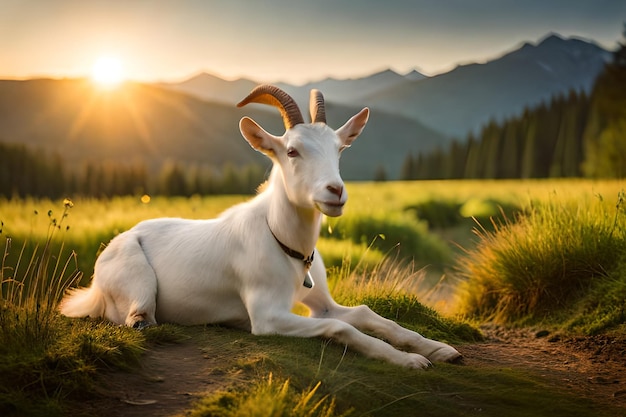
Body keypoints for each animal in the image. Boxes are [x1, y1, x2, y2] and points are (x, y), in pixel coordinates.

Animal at [59, 84, 458, 368]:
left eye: (339, 149)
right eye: (292, 151)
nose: (335, 192)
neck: (283, 241)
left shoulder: (322, 304)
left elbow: (364, 314)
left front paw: (439, 349)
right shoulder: (268, 317)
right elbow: (341, 326)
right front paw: (409, 360)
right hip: (136, 281)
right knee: (138, 315)